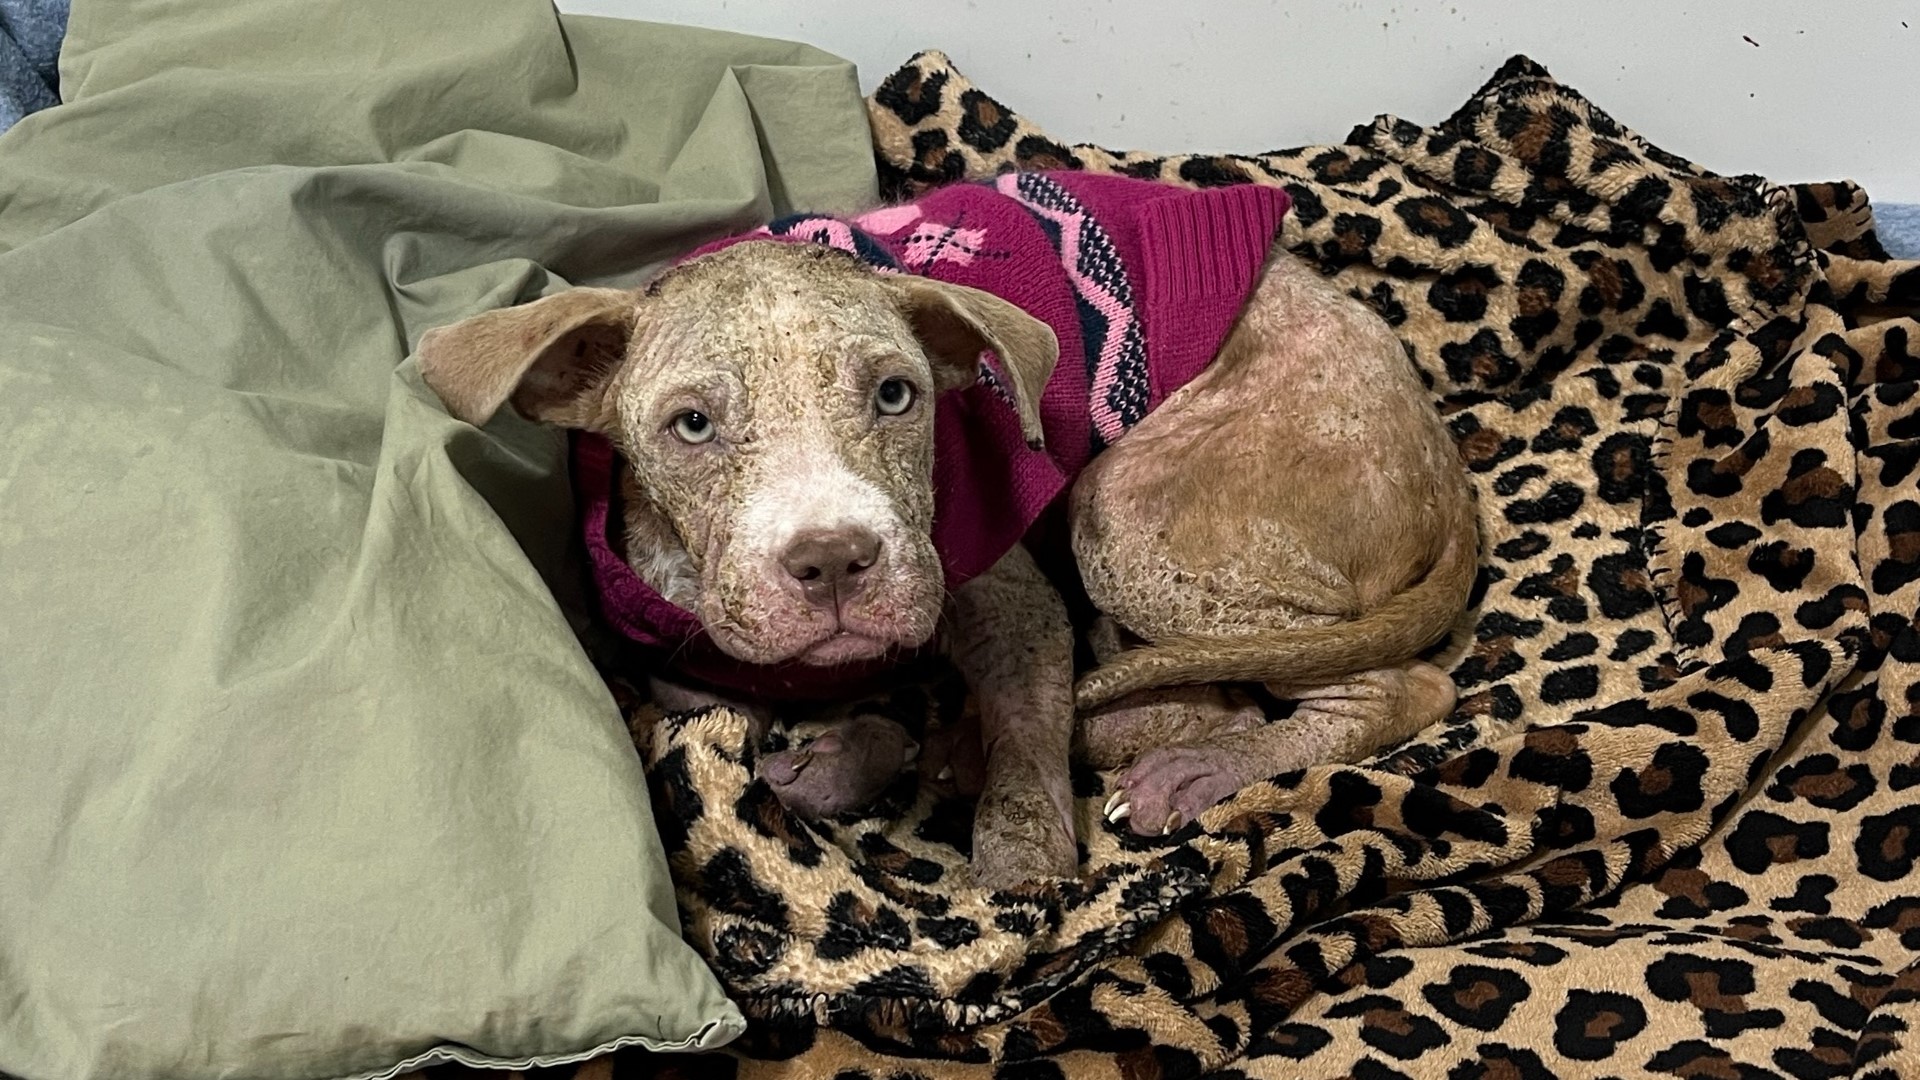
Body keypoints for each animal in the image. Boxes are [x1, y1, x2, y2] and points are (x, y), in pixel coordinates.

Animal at [416, 171, 1466, 887]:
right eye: (693, 425)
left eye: (896, 396)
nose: (835, 559)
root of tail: (1447, 463)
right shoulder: (687, 663)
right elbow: (732, 723)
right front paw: (845, 754)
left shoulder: (1013, 606)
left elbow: (1027, 753)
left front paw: (1018, 863)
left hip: (1126, 517)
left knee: (1388, 689)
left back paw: (1192, 767)